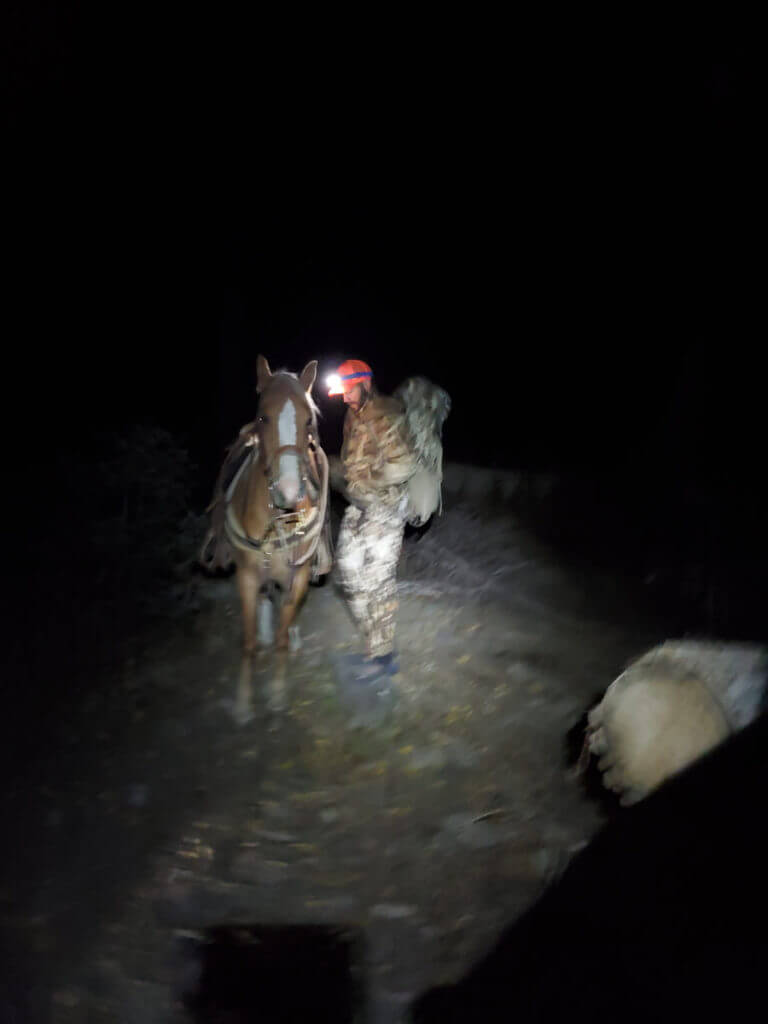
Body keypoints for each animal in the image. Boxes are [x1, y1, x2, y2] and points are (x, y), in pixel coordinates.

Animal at [207, 356, 331, 724]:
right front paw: (243, 703)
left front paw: (276, 692)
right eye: (263, 417)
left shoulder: (298, 575)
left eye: (308, 421)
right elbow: (248, 644)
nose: (289, 492)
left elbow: (281, 638)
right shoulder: (247, 576)